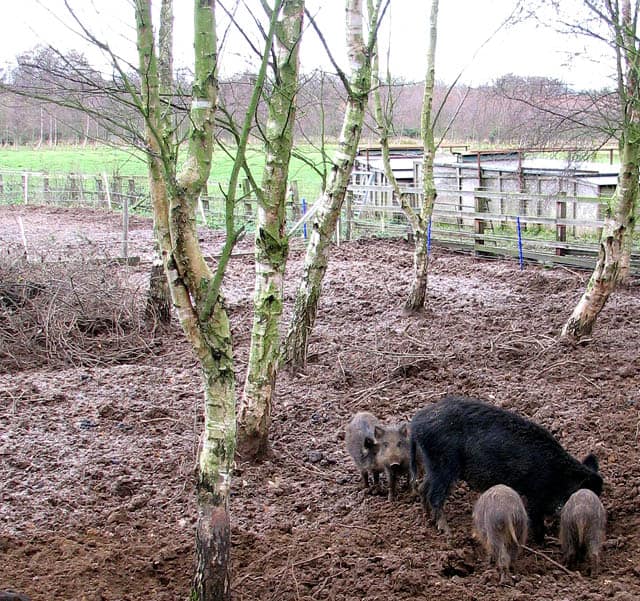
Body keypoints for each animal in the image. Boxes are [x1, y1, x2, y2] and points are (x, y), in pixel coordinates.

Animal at [409, 395, 603, 541]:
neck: (559, 477)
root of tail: (416, 423)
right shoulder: (536, 495)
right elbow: (535, 519)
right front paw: (542, 541)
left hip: (433, 464)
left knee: (423, 488)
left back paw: (429, 519)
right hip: (444, 463)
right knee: (435, 494)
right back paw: (446, 531)